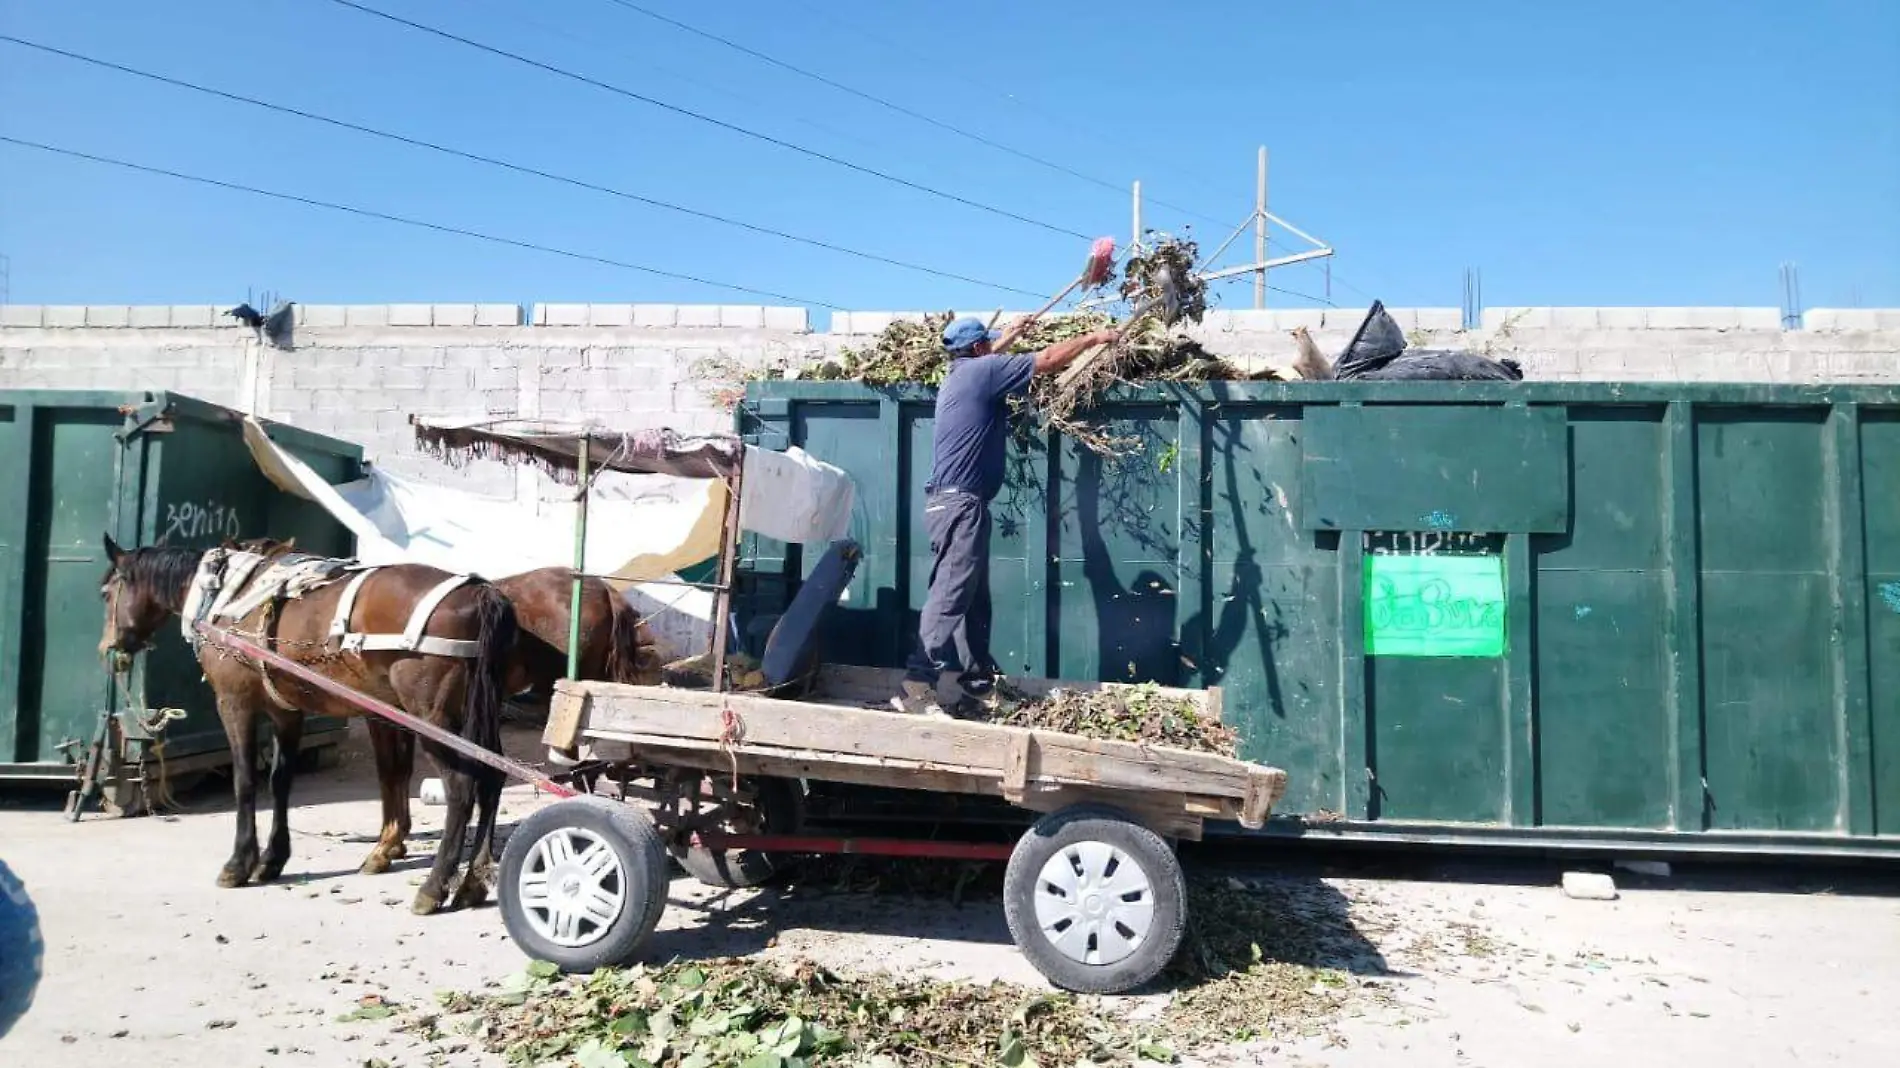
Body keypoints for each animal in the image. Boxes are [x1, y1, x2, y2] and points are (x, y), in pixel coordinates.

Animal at [99, 535, 516, 912]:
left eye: (105, 593)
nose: (107, 648)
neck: (228, 596)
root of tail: (481, 594)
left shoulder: (234, 703)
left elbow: (245, 781)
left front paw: (239, 864)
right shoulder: (286, 711)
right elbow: (280, 781)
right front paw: (272, 859)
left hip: (432, 717)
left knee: (461, 787)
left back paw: (434, 886)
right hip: (474, 714)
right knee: (491, 778)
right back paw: (472, 883)